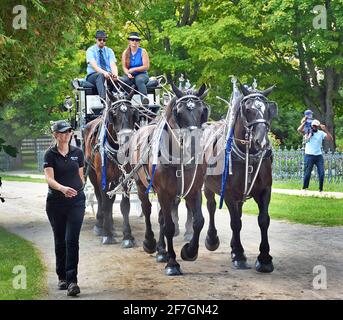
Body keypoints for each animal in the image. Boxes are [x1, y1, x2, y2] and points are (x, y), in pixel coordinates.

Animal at [82, 91, 139, 246]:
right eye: (113, 113)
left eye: (133, 113)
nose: (127, 141)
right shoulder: (103, 177)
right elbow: (105, 204)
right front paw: (106, 234)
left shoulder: (126, 177)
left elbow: (125, 206)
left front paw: (127, 236)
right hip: (93, 175)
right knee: (100, 198)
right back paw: (100, 225)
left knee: (110, 199)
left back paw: (112, 227)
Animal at [130, 82, 208, 276]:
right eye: (178, 112)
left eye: (203, 110)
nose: (194, 146)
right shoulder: (164, 192)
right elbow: (170, 227)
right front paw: (173, 263)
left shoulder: (194, 190)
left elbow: (198, 221)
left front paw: (189, 251)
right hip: (141, 185)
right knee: (147, 210)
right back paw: (151, 243)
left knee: (161, 218)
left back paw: (161, 251)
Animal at [204, 84, 280, 272]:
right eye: (247, 109)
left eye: (267, 109)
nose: (262, 142)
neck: (249, 156)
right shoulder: (229, 193)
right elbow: (235, 223)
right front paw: (238, 255)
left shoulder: (265, 190)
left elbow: (263, 220)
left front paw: (264, 258)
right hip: (207, 186)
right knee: (211, 206)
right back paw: (212, 239)